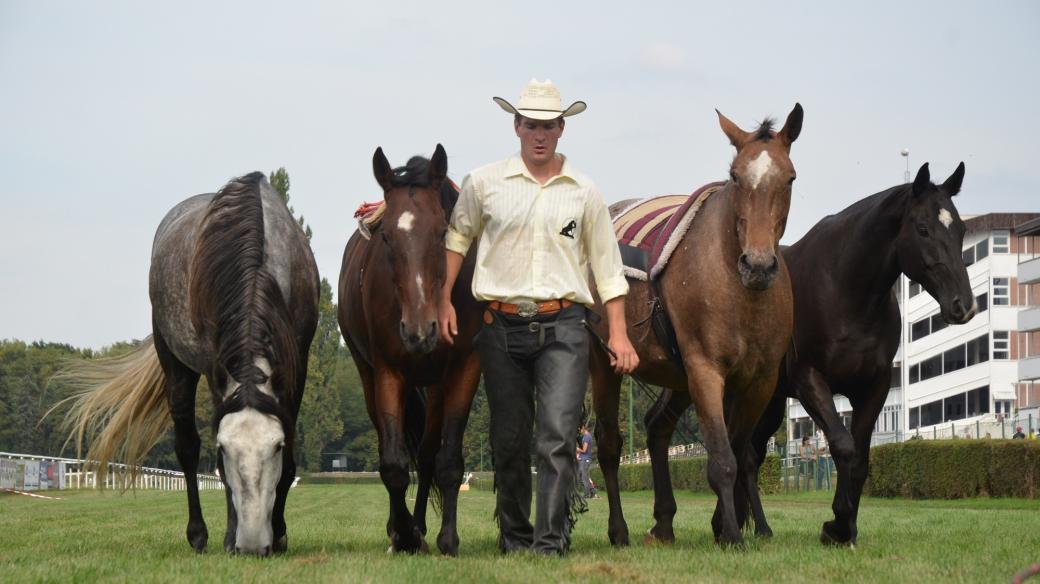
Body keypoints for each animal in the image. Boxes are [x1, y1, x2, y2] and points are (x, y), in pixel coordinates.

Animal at [60, 170, 316, 552]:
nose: (252, 544)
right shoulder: (214, 367)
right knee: (187, 447)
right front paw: (230, 536)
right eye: (224, 449)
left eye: (276, 446)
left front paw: (280, 532)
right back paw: (198, 535)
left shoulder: (297, 362)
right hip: (173, 364)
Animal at [341, 145, 482, 552]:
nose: (420, 331)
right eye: (386, 237)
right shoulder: (388, 369)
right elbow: (392, 463)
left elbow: (447, 460)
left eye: (441, 233)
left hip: (435, 385)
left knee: (428, 454)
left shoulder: (465, 366)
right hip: (367, 372)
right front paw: (402, 533)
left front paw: (447, 538)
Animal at [590, 102, 798, 544]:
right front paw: (733, 533)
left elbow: (741, 451)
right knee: (609, 444)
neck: (740, 289)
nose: (758, 265)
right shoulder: (705, 369)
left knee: (656, 427)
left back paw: (664, 522)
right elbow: (722, 457)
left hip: (677, 375)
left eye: (789, 177)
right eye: (736, 175)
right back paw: (619, 529)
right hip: (603, 357)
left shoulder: (760, 380)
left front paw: (725, 524)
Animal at [644, 161, 969, 544]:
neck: (844, 288)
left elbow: (860, 459)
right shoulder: (810, 381)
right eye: (923, 229)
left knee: (746, 455)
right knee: (669, 427)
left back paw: (750, 526)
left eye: (961, 229)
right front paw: (837, 524)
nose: (963, 304)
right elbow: (842, 446)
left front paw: (845, 528)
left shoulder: (873, 386)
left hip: (765, 401)